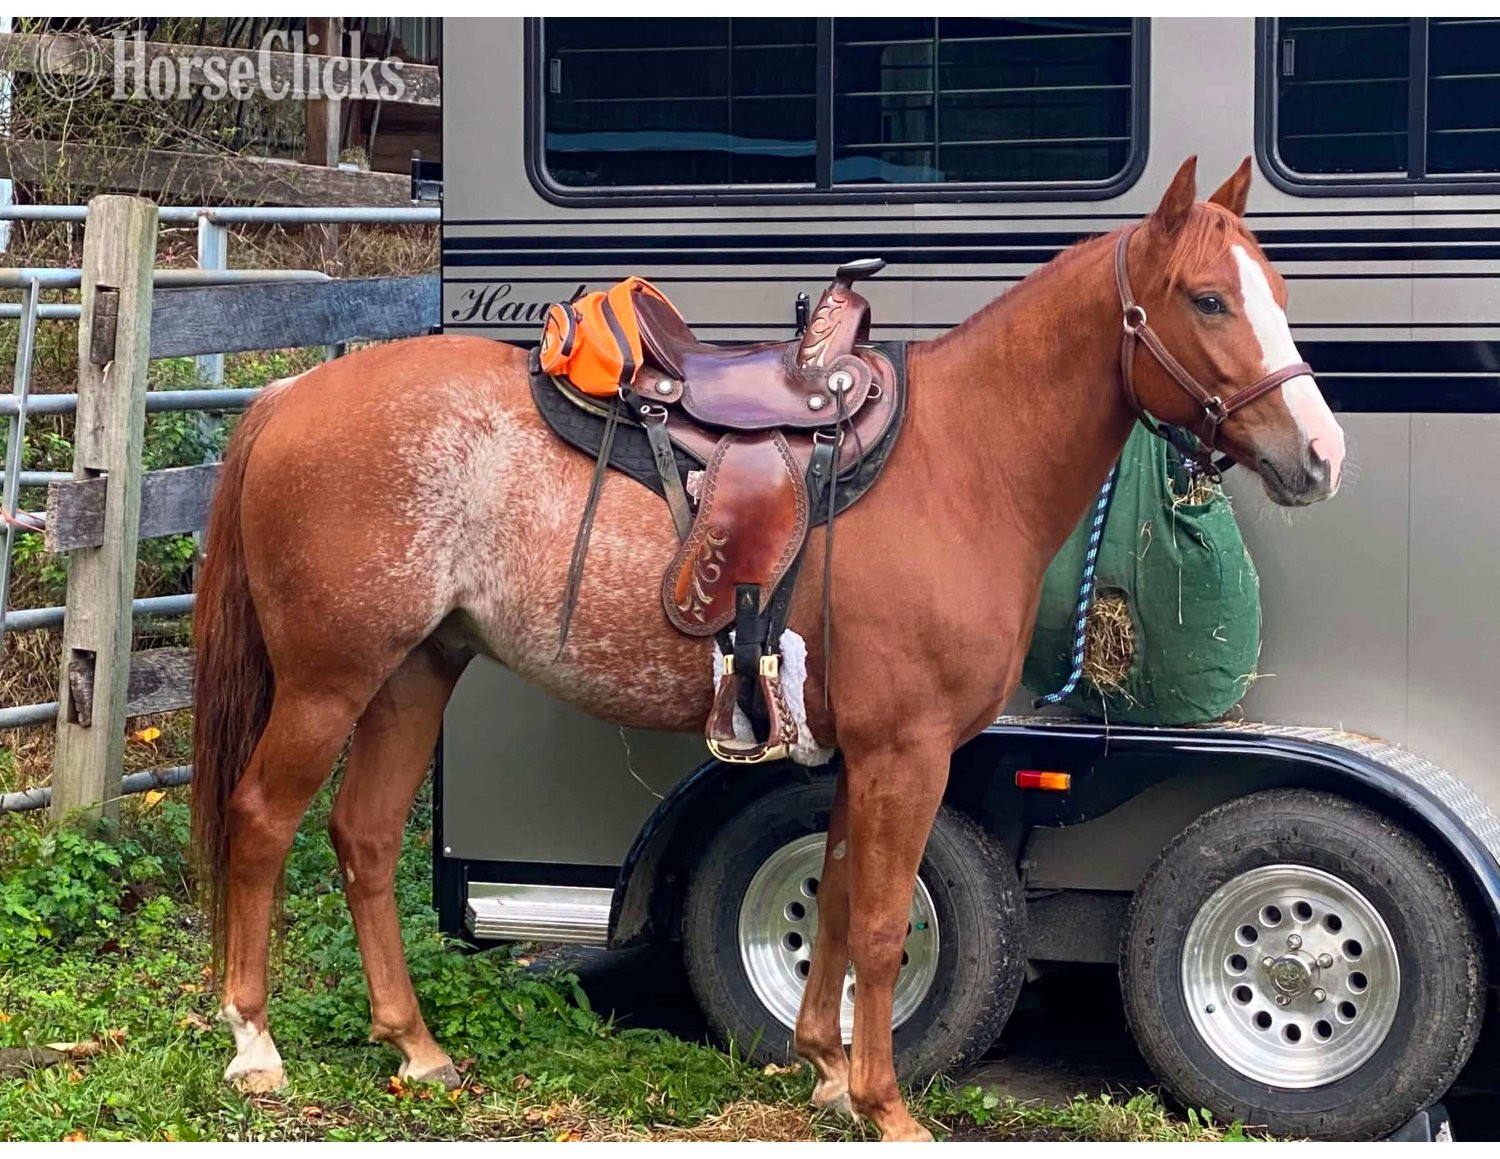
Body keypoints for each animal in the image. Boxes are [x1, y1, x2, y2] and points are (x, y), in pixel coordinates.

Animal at [190, 156, 1344, 1141]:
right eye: (1208, 299)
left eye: (1276, 287)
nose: (1321, 456)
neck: (963, 462)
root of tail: (289, 396)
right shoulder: (907, 751)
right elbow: (880, 921)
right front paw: (885, 1104)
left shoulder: (855, 754)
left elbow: (832, 902)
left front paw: (824, 1067)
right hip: (328, 680)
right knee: (261, 821)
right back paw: (254, 1044)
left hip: (414, 672)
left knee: (364, 836)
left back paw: (415, 1047)